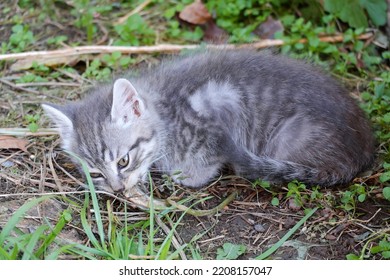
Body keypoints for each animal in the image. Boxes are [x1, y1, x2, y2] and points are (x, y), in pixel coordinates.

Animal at [42, 49, 374, 197]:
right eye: (96, 172)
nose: (119, 189)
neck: (164, 112)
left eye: (123, 161)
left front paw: (183, 175)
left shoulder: (212, 127)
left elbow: (201, 167)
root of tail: (362, 149)